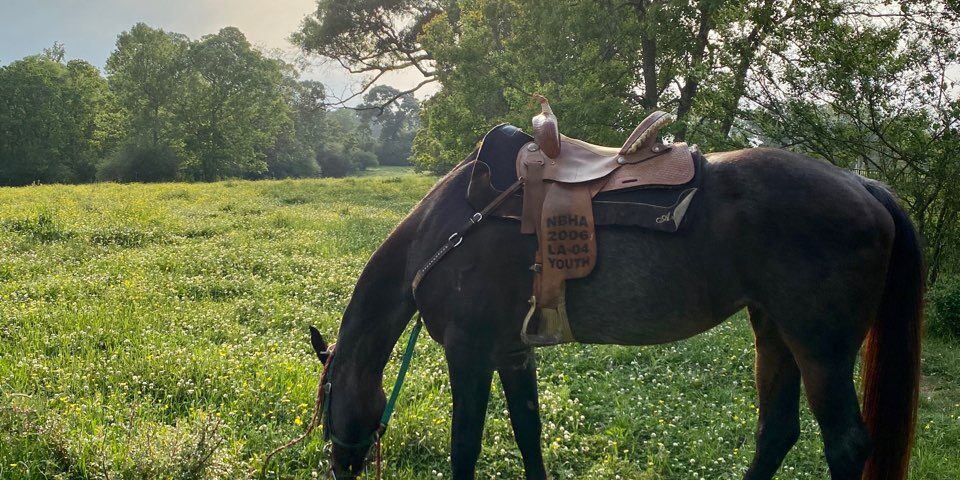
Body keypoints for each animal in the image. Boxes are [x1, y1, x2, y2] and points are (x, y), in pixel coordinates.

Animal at [308, 141, 924, 478]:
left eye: (326, 401)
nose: (338, 466)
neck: (448, 230)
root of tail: (862, 184)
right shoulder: (511, 353)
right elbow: (528, 433)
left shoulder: (469, 354)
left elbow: (466, 449)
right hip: (774, 332)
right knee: (776, 433)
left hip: (821, 351)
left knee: (845, 445)